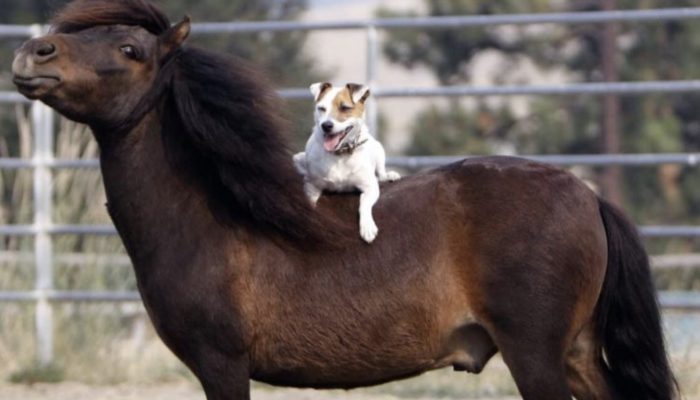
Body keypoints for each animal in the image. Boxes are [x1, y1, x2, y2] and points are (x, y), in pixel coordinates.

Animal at [12, 1, 676, 399]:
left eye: (130, 50)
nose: (32, 54)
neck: (210, 219)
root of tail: (589, 196)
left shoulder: (221, 364)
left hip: (537, 357)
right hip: (576, 354)